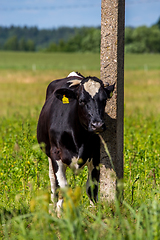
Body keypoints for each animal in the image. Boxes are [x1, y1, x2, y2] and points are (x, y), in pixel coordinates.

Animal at [37, 71, 114, 212]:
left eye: (104, 100)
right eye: (82, 101)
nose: (98, 125)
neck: (79, 137)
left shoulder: (95, 155)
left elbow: (91, 187)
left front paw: (94, 211)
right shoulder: (56, 154)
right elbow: (63, 185)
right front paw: (60, 212)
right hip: (49, 153)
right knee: (53, 180)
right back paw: (53, 204)